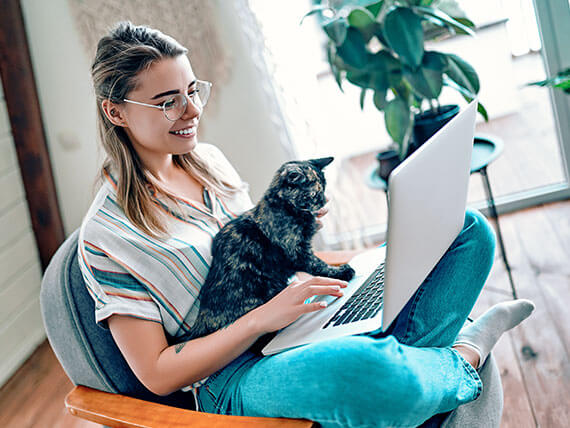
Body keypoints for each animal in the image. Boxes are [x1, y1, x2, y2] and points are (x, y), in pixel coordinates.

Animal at [186, 155, 352, 340]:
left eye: (324, 189)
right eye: (315, 193)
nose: (323, 200)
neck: (285, 207)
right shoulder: (297, 251)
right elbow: (318, 264)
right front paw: (340, 272)